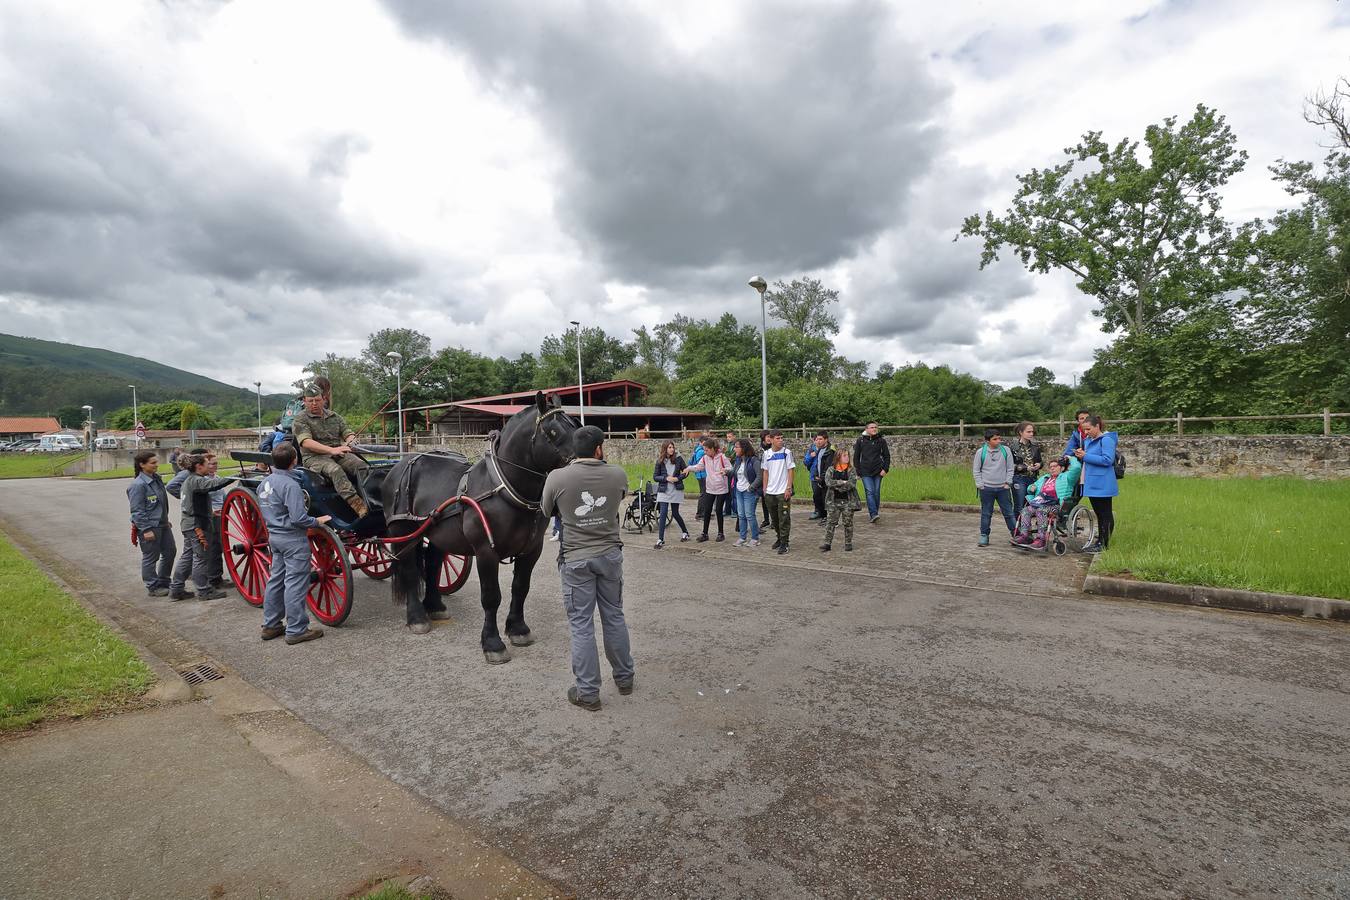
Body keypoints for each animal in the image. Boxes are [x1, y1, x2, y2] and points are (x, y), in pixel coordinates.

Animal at [383, 391, 577, 661]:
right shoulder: (486, 551)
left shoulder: (531, 550)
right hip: (403, 531)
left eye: (574, 425)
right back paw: (417, 617)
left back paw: (435, 606)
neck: (503, 488)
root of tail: (400, 465)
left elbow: (520, 588)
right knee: (410, 570)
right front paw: (492, 643)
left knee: (432, 564)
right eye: (553, 432)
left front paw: (518, 629)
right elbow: (491, 596)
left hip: (437, 533)